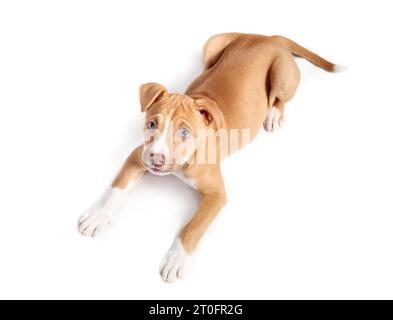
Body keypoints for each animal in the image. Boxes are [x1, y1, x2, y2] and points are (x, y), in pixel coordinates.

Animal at [78, 33, 338, 282]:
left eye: (184, 133)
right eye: (151, 125)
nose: (156, 158)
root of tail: (269, 38)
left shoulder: (217, 195)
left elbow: (193, 227)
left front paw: (177, 259)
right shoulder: (137, 155)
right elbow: (117, 186)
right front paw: (98, 216)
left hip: (282, 77)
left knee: (278, 97)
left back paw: (273, 114)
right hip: (212, 45)